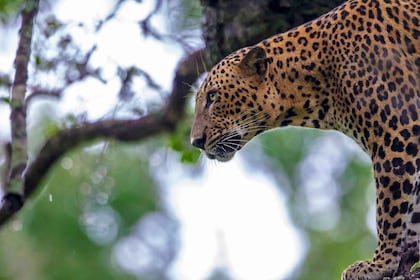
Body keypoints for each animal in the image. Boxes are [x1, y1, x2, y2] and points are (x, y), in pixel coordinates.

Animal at [191, 0, 420, 278]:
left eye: (212, 97)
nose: (195, 141)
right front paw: (408, 255)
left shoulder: (397, 132)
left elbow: (390, 209)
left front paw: (380, 263)